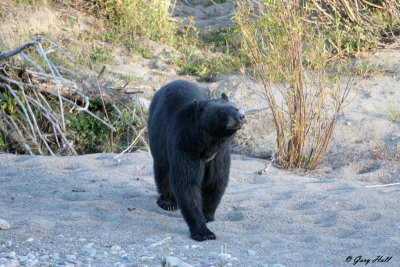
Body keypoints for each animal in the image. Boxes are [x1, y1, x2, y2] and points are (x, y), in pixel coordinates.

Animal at [148, 80, 245, 243]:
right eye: (221, 112)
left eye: (235, 108)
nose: (241, 116)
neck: (208, 143)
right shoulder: (185, 146)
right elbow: (187, 183)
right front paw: (203, 232)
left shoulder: (219, 155)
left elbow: (216, 181)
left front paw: (207, 216)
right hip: (157, 136)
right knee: (162, 170)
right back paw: (168, 202)